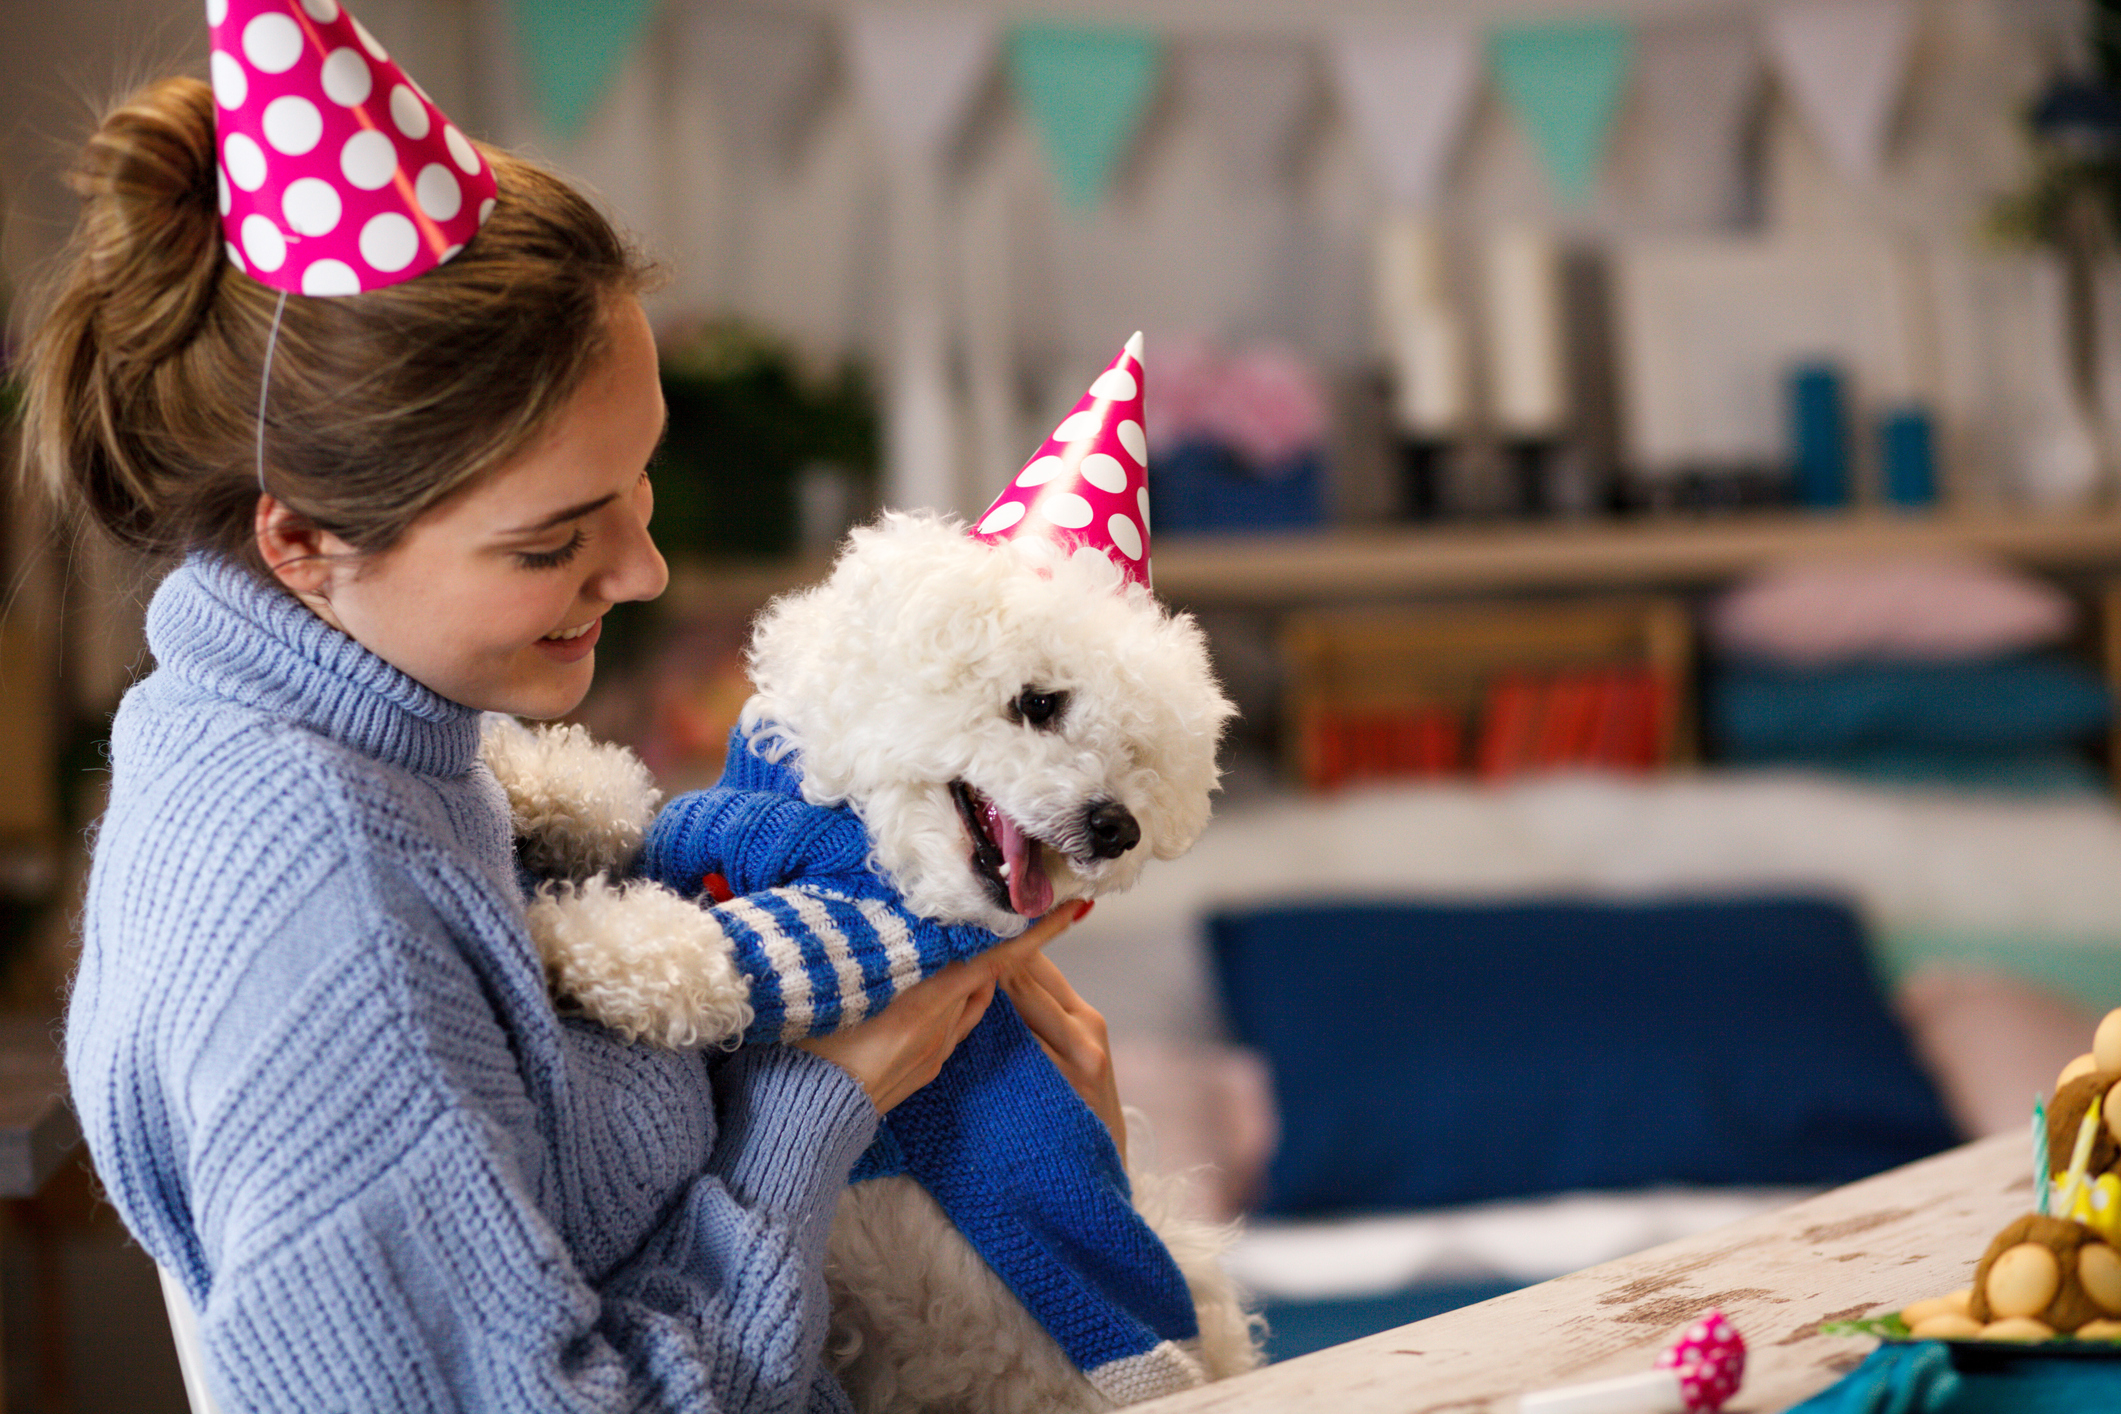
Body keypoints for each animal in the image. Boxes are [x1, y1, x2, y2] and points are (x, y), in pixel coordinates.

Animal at [485, 515, 1255, 1407]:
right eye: (1039, 703)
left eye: (1137, 752)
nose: (1117, 828)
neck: (840, 826)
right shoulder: (705, 835)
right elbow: (634, 812)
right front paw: (527, 776)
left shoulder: (879, 935)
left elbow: (728, 950)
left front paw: (565, 938)